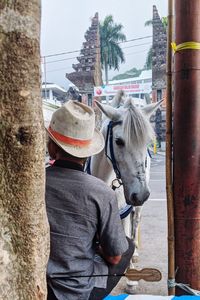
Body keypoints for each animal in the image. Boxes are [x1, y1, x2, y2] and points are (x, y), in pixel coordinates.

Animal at [89, 92, 162, 292]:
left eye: (147, 142)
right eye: (119, 141)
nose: (141, 194)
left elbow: (128, 235)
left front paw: (131, 278)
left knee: (135, 223)